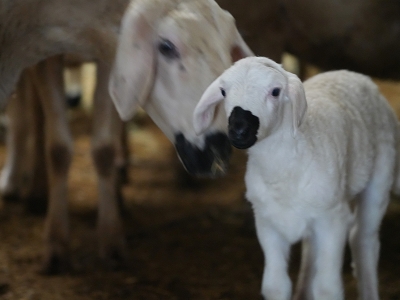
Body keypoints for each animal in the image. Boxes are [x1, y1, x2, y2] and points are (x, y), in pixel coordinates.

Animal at [193, 56, 400, 300]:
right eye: (223, 91)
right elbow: (275, 286)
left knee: (363, 239)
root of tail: (354, 75)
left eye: (275, 91)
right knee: (312, 248)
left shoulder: (333, 219)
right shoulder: (267, 222)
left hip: (380, 176)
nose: (239, 130)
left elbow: (327, 288)